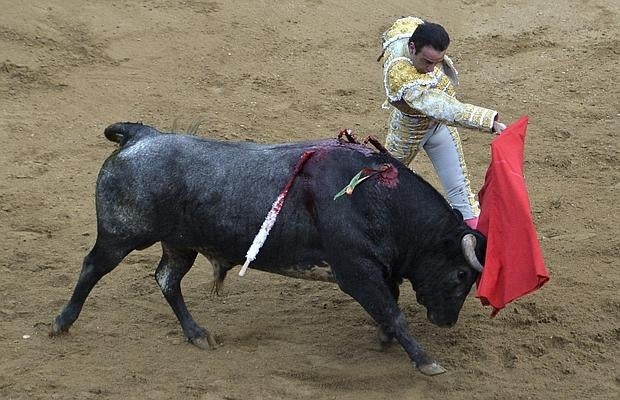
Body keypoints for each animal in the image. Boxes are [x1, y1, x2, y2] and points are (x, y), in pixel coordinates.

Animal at [50, 122, 486, 376]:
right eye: (461, 274)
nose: (446, 322)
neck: (377, 196)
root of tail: (141, 136)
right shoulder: (356, 272)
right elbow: (394, 312)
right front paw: (425, 361)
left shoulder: (377, 271)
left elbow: (389, 306)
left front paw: (385, 339)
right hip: (121, 234)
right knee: (92, 267)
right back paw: (61, 323)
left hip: (180, 244)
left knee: (166, 279)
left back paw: (197, 334)